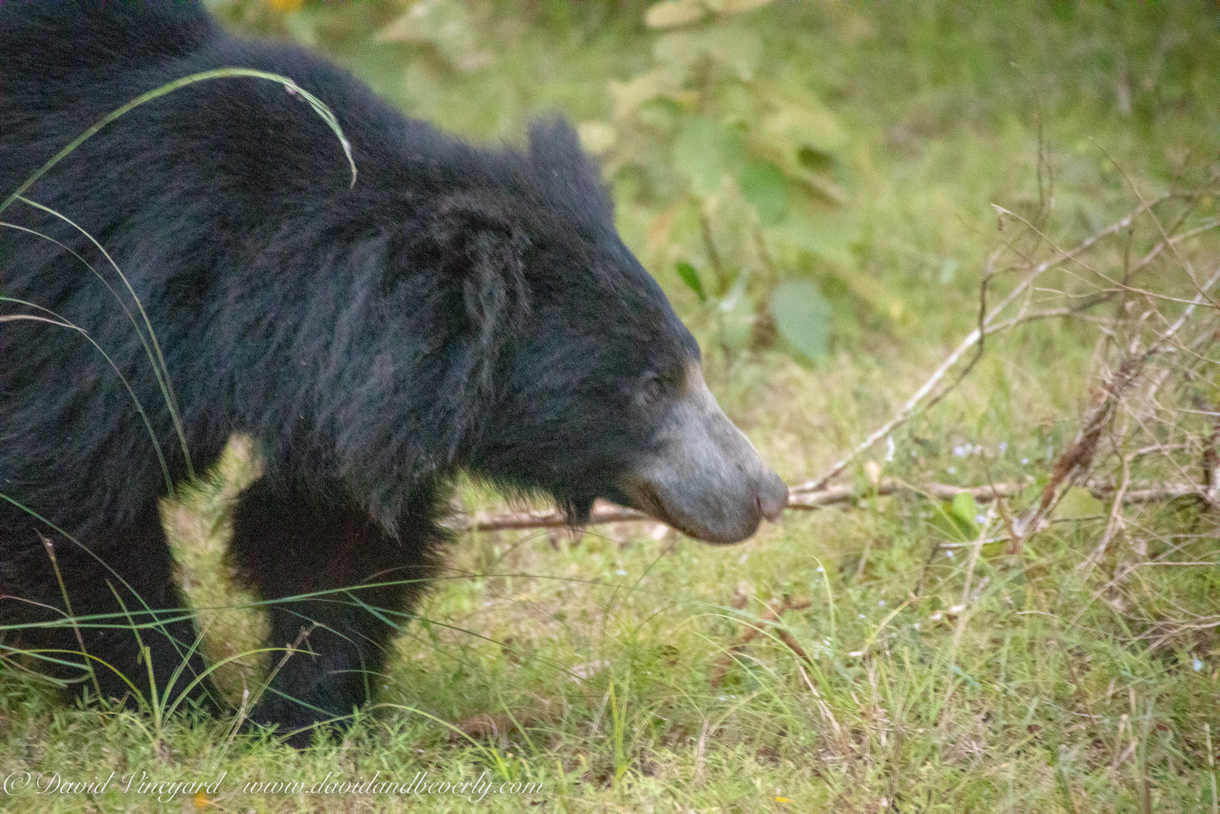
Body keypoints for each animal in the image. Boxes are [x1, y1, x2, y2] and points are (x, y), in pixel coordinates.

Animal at [0, 0, 785, 746]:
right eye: (651, 386)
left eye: (691, 366)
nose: (765, 493)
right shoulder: (93, 305)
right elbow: (68, 495)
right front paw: (177, 700)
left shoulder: (338, 397)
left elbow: (331, 534)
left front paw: (303, 713)